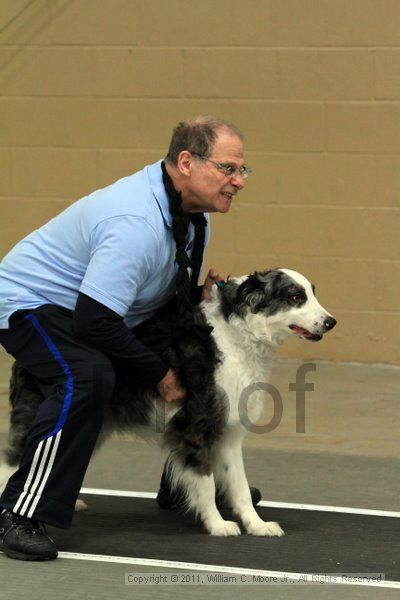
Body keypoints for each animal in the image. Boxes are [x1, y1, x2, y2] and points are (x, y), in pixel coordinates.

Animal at [1, 270, 336, 536]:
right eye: (295, 297)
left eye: (312, 293)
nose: (331, 322)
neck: (237, 336)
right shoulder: (195, 425)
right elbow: (205, 482)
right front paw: (217, 525)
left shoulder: (227, 433)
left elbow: (239, 486)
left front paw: (257, 525)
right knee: (13, 464)